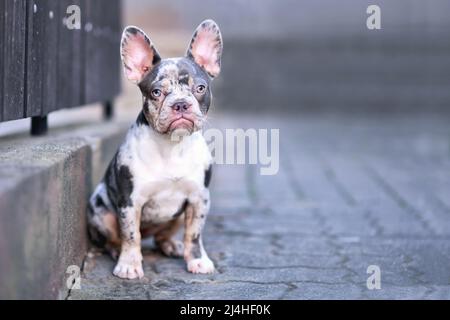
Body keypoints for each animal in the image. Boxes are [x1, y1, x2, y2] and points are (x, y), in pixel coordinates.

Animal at [87, 20, 222, 280]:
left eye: (200, 88)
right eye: (156, 92)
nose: (181, 104)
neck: (173, 145)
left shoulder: (199, 198)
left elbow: (194, 233)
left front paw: (198, 259)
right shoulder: (130, 202)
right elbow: (131, 235)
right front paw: (129, 264)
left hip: (177, 216)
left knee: (163, 235)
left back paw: (172, 246)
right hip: (100, 210)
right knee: (115, 238)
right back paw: (118, 252)